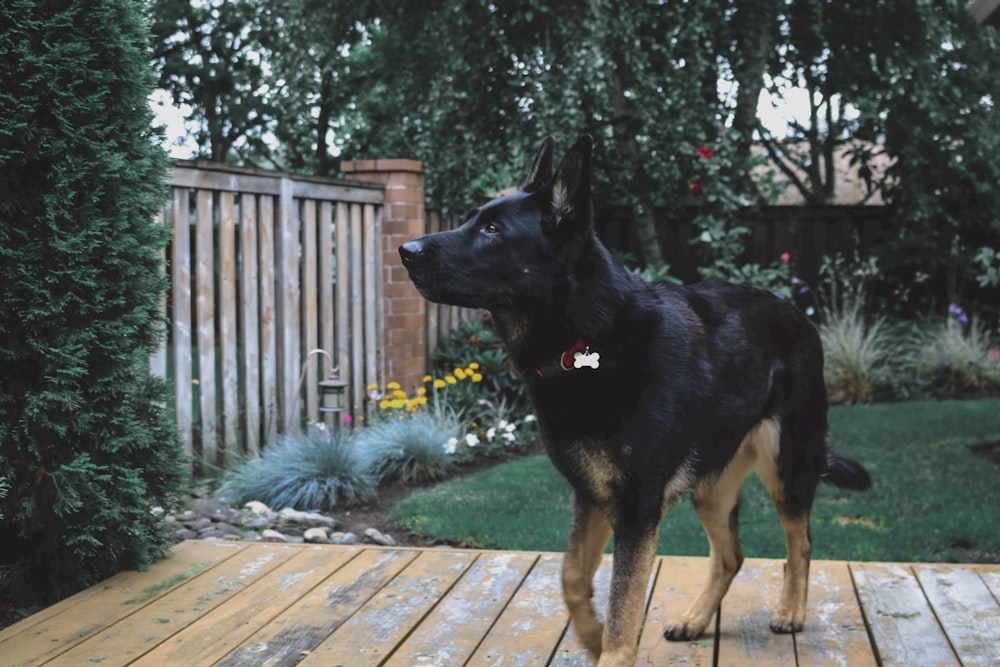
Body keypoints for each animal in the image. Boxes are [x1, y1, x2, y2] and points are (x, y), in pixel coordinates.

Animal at [398, 137, 868, 667]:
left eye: (493, 230)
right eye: (473, 220)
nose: (405, 251)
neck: (588, 338)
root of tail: (797, 313)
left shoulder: (637, 508)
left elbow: (624, 605)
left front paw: (608, 647)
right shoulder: (591, 495)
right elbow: (572, 576)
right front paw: (589, 634)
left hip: (786, 466)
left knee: (800, 541)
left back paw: (790, 611)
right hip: (710, 485)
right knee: (731, 555)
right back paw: (696, 619)